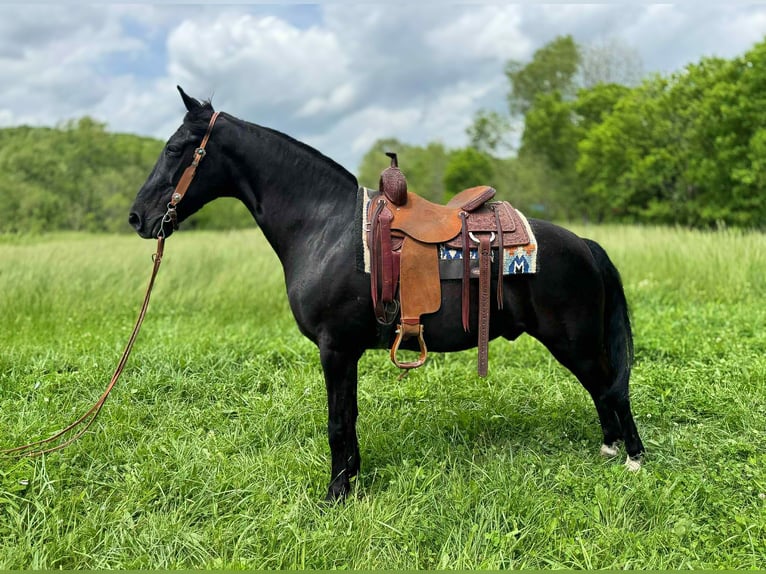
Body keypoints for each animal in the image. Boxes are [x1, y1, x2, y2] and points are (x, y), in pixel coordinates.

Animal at [129, 87, 644, 501]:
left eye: (175, 148)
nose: (138, 217)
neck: (325, 226)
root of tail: (584, 244)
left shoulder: (335, 348)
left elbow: (338, 422)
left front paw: (336, 493)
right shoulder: (345, 351)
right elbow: (350, 418)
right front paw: (352, 478)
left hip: (574, 341)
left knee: (611, 387)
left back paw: (634, 458)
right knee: (602, 389)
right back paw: (609, 448)